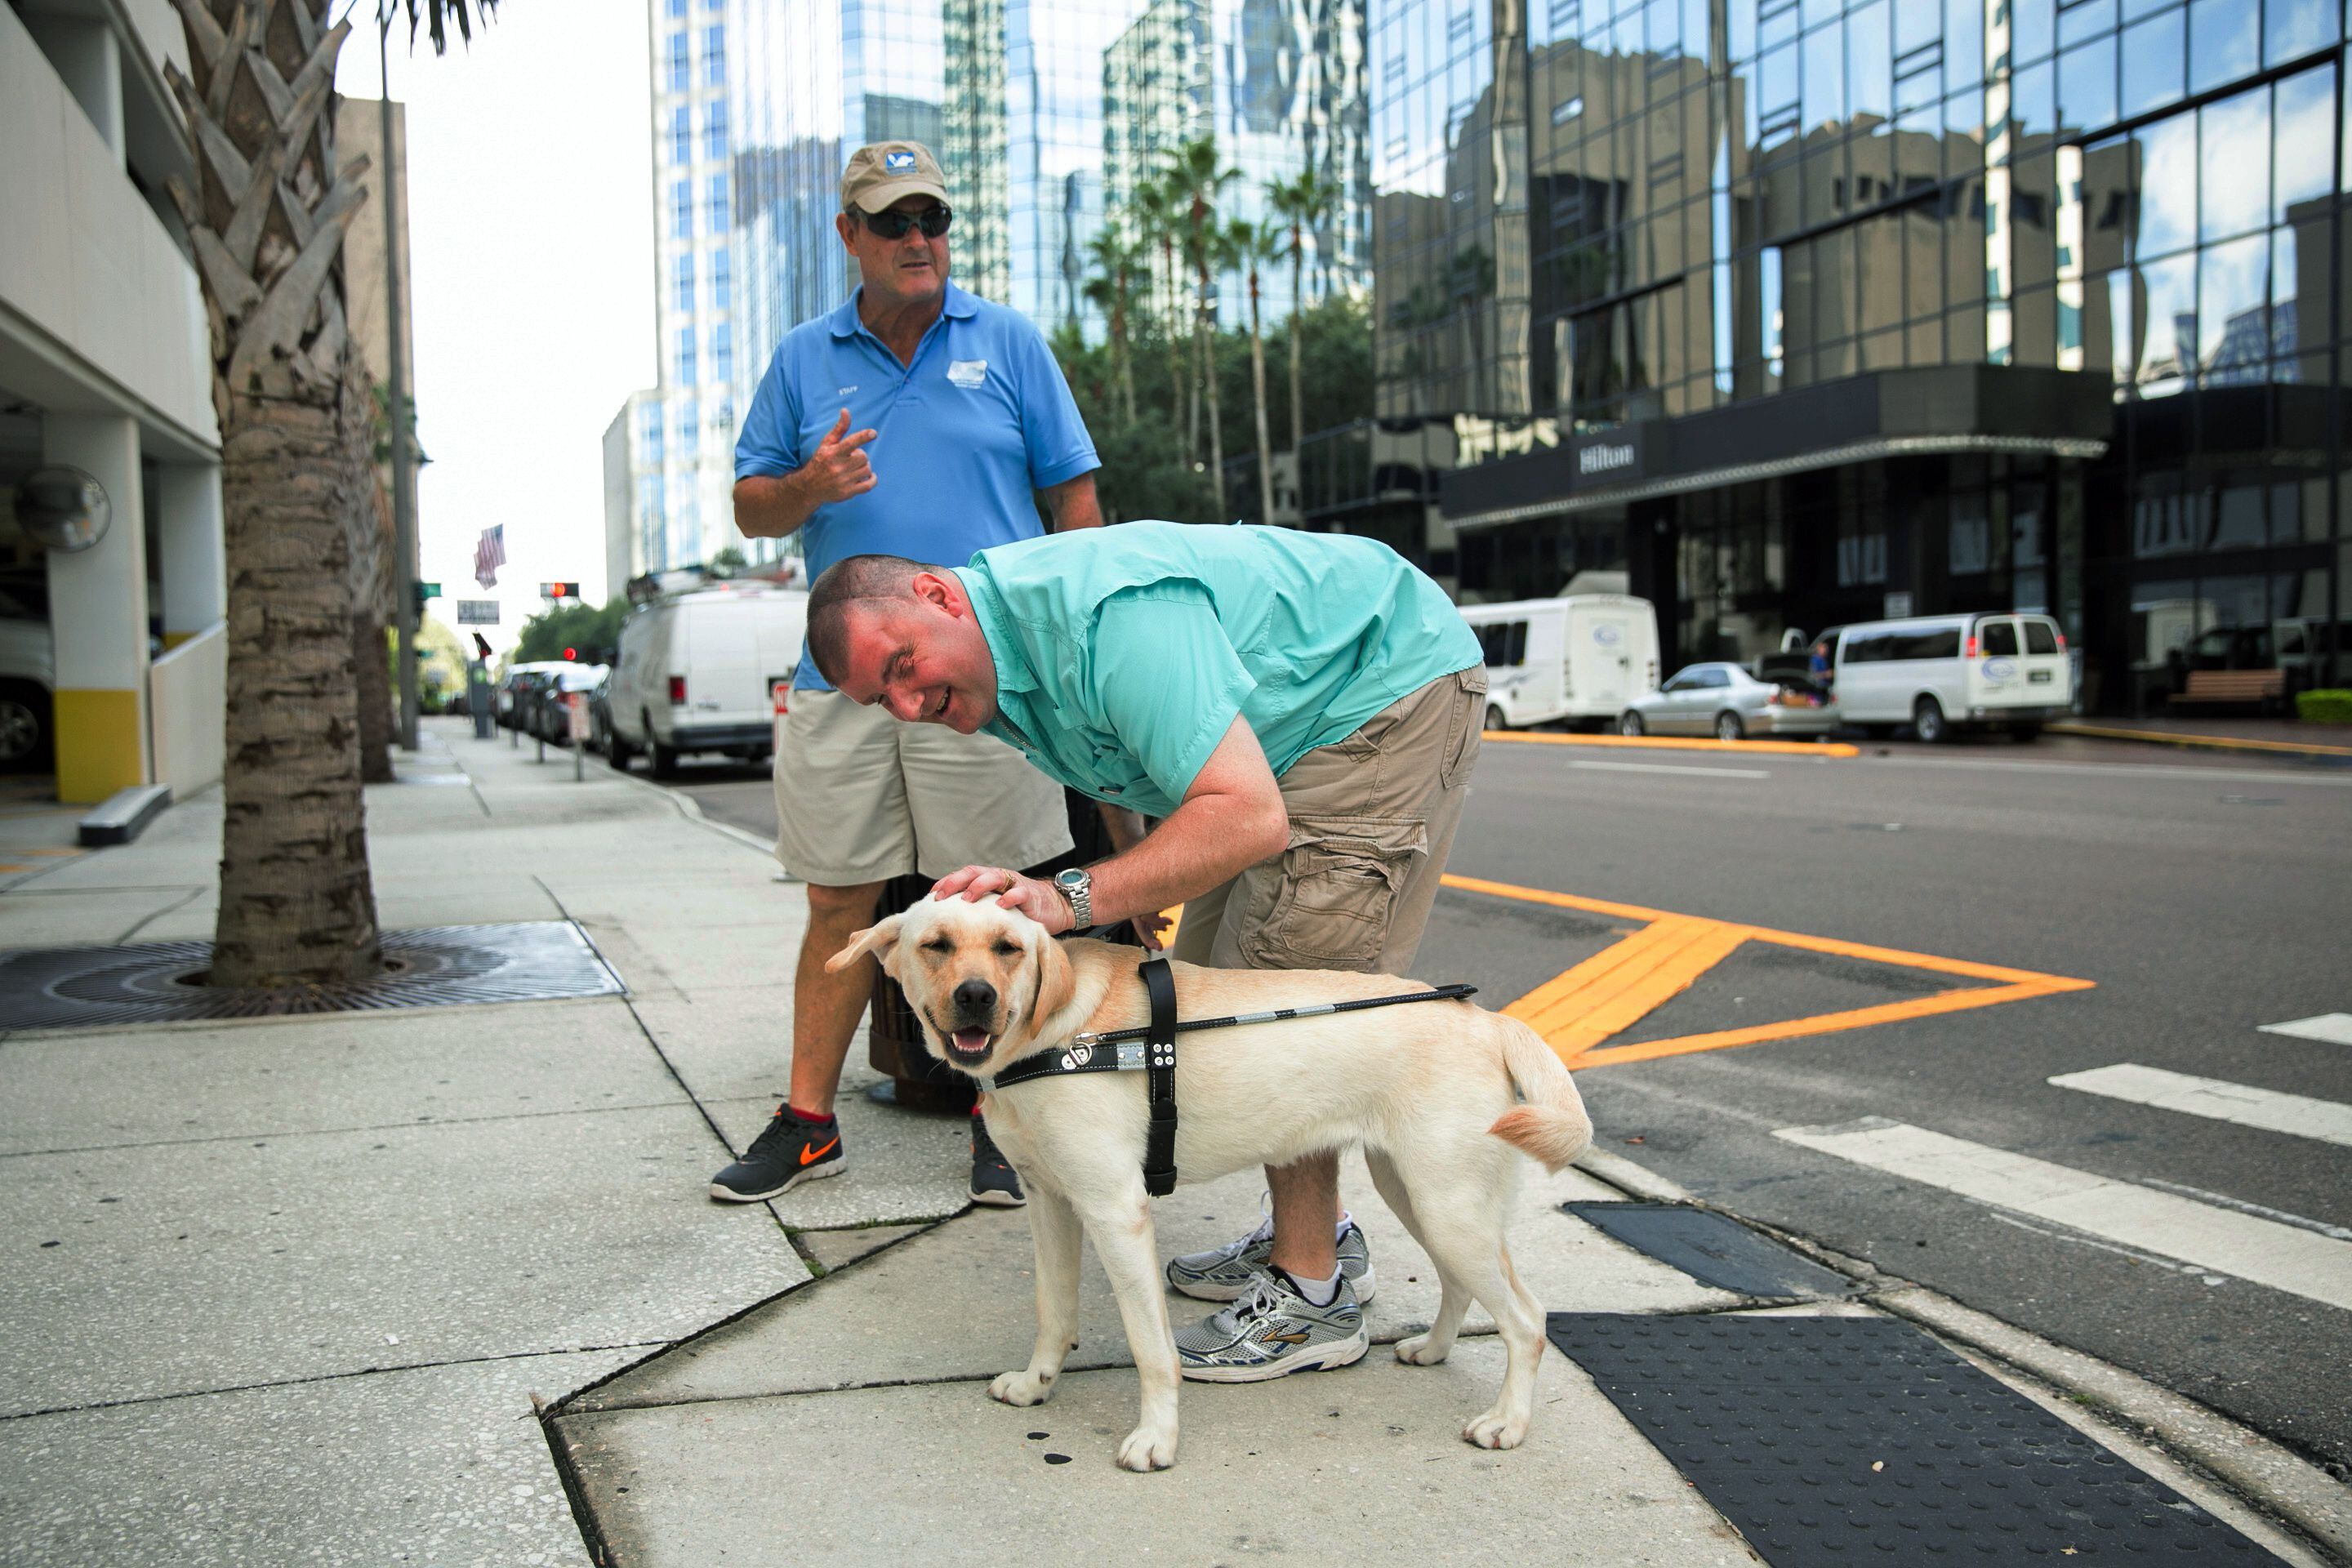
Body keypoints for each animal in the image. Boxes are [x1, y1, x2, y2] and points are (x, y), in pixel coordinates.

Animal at [832, 893, 1599, 1476]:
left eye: (1007, 948)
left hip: (1447, 1204)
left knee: (1528, 1320)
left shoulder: (1116, 1212)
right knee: (1464, 1286)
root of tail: (1488, 1019)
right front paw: (1035, 1384)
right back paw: (1434, 1350)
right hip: (1417, 1192)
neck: (1055, 1036)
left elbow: (1152, 1351)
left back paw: (1507, 1423)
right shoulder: (1052, 1204)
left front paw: (1157, 1441)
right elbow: (1054, 1312)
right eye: (936, 945)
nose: (976, 996)